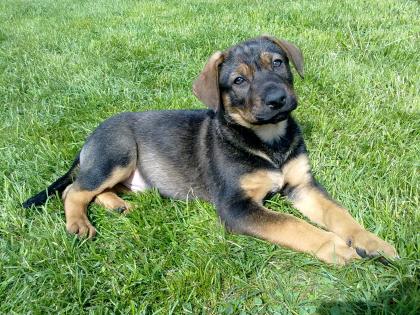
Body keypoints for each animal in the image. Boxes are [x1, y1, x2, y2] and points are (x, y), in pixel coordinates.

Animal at [23, 35, 398, 266]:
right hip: (118, 153)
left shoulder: (302, 185)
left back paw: (117, 205)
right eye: (238, 81)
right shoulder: (236, 207)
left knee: (94, 189)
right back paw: (79, 224)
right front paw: (336, 247)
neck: (267, 141)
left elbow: (340, 215)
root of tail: (89, 139)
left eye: (278, 63)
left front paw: (372, 242)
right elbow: (292, 225)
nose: (278, 99)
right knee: (74, 190)